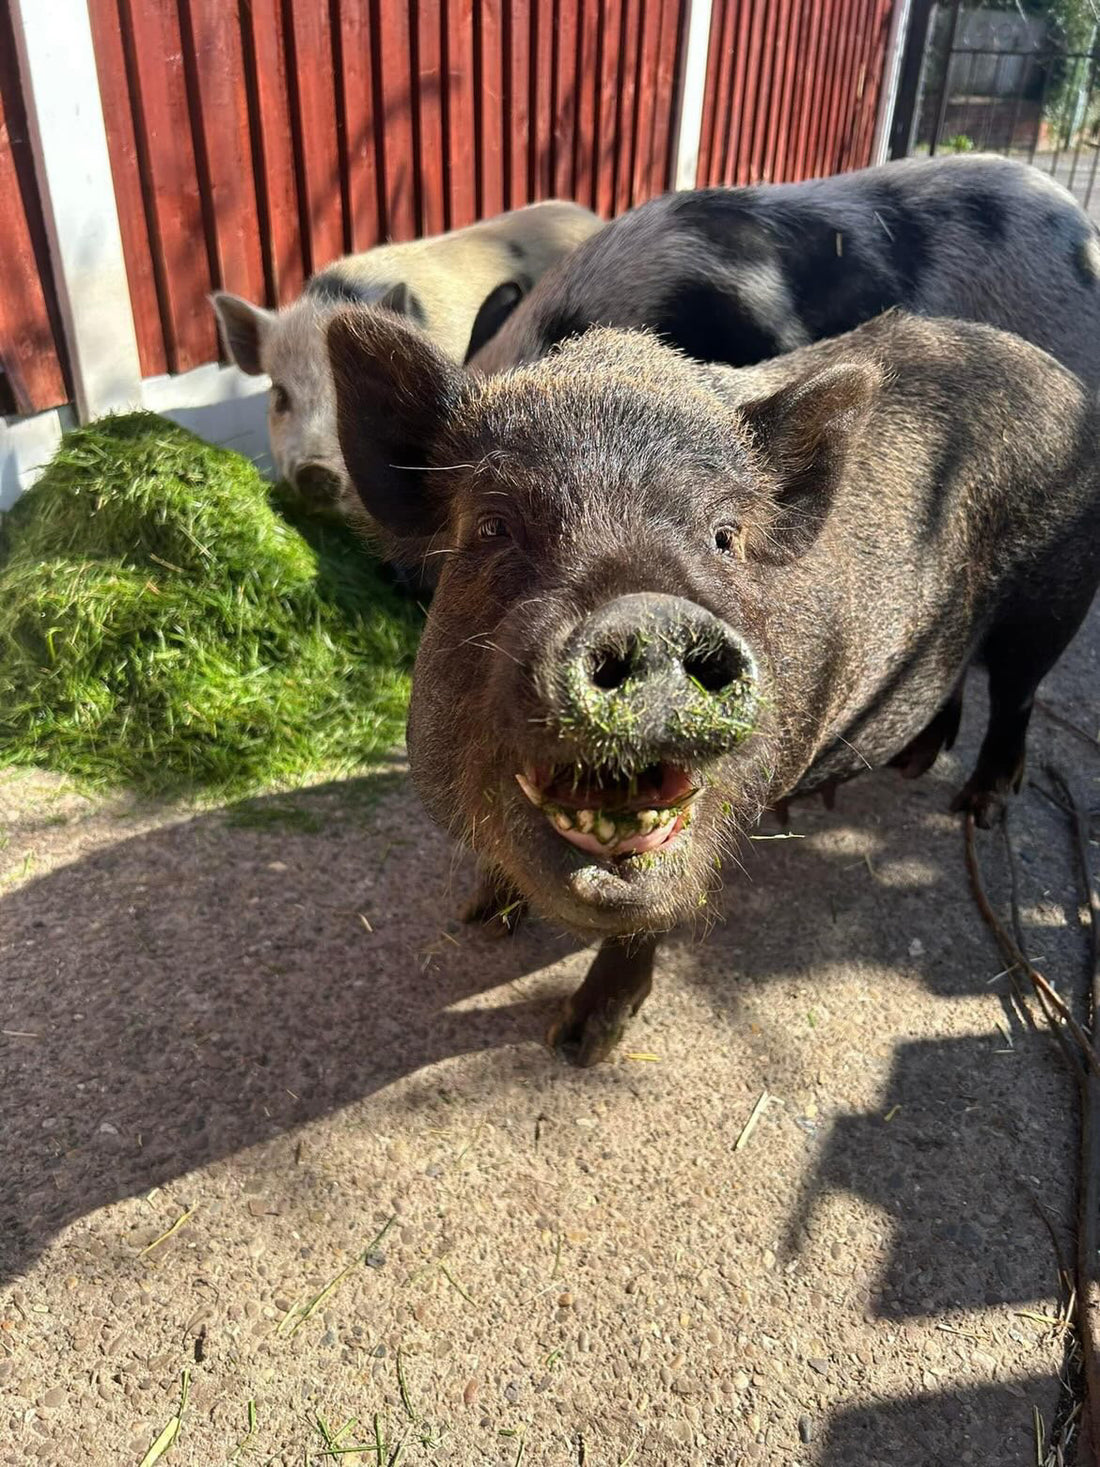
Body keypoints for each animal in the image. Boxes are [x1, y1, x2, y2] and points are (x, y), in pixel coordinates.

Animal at [327, 305, 1100, 1066]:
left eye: (725, 536)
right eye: (492, 525)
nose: (651, 620)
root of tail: (1062, 378)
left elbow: (650, 914)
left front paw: (579, 1046)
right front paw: (481, 921)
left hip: (1050, 607)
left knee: (1017, 699)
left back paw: (978, 808)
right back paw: (915, 763)